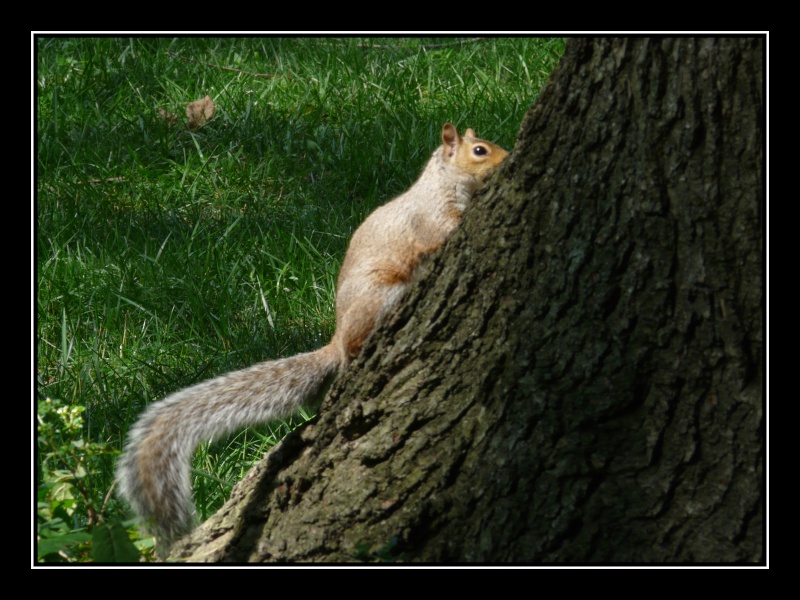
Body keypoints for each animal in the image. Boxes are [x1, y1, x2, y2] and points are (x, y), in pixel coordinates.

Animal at [116, 124, 510, 556]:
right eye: (479, 150)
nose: (508, 159)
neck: (441, 182)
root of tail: (338, 341)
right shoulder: (431, 219)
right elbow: (445, 231)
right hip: (382, 297)